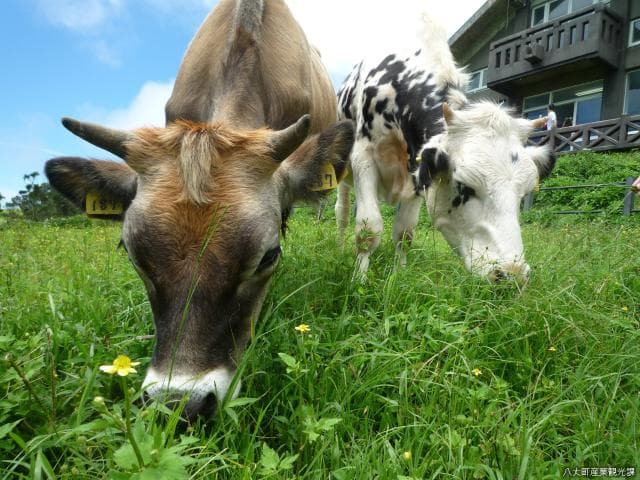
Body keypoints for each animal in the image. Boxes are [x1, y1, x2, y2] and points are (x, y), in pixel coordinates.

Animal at [335, 13, 554, 284]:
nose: (513, 275)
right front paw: (359, 280)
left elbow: (405, 234)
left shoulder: (417, 176)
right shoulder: (364, 157)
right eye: (464, 186)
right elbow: (368, 228)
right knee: (342, 211)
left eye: (522, 195)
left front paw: (398, 275)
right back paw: (339, 246)